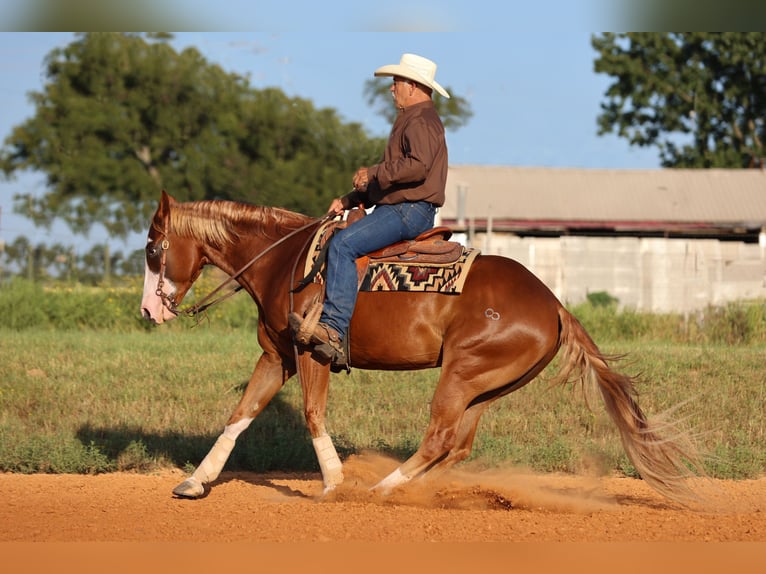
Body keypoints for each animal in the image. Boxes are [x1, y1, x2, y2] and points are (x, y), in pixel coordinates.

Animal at [140, 190, 705, 506]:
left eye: (151, 248)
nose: (149, 311)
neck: (285, 261)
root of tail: (555, 305)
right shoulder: (277, 356)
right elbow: (240, 414)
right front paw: (195, 483)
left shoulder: (309, 352)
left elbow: (313, 414)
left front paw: (334, 484)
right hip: (483, 388)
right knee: (457, 445)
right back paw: (406, 490)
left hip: (460, 375)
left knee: (438, 439)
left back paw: (380, 491)